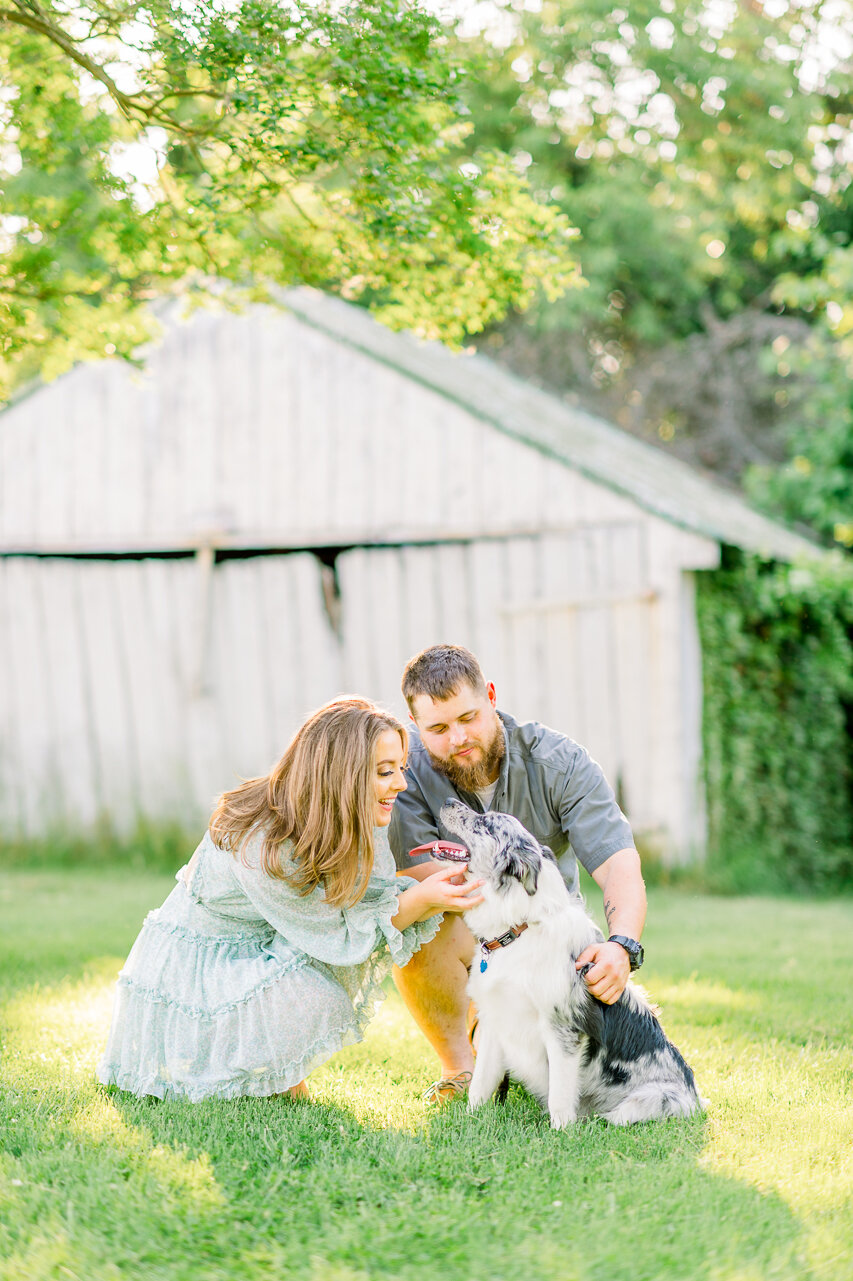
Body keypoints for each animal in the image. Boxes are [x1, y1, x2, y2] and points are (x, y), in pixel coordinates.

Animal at [435, 799, 701, 1132]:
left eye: (485, 823)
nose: (447, 801)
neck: (519, 929)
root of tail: (696, 1099)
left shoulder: (561, 1030)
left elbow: (560, 1094)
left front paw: (560, 1133)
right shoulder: (495, 1021)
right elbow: (481, 1083)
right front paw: (470, 1120)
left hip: (650, 1100)